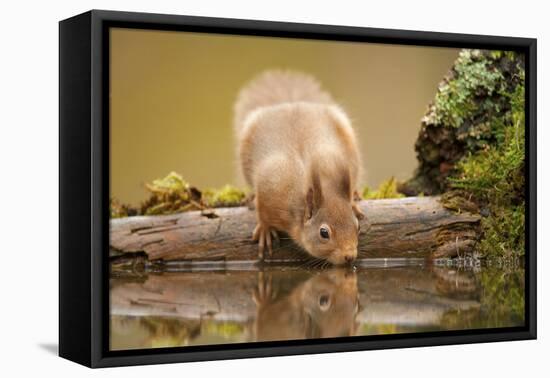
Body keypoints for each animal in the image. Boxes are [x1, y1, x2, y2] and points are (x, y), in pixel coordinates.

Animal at [234, 71, 366, 266]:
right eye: (324, 233)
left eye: (357, 226)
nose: (349, 256)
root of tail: (291, 103)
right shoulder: (271, 186)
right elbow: (262, 210)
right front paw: (265, 229)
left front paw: (352, 201)